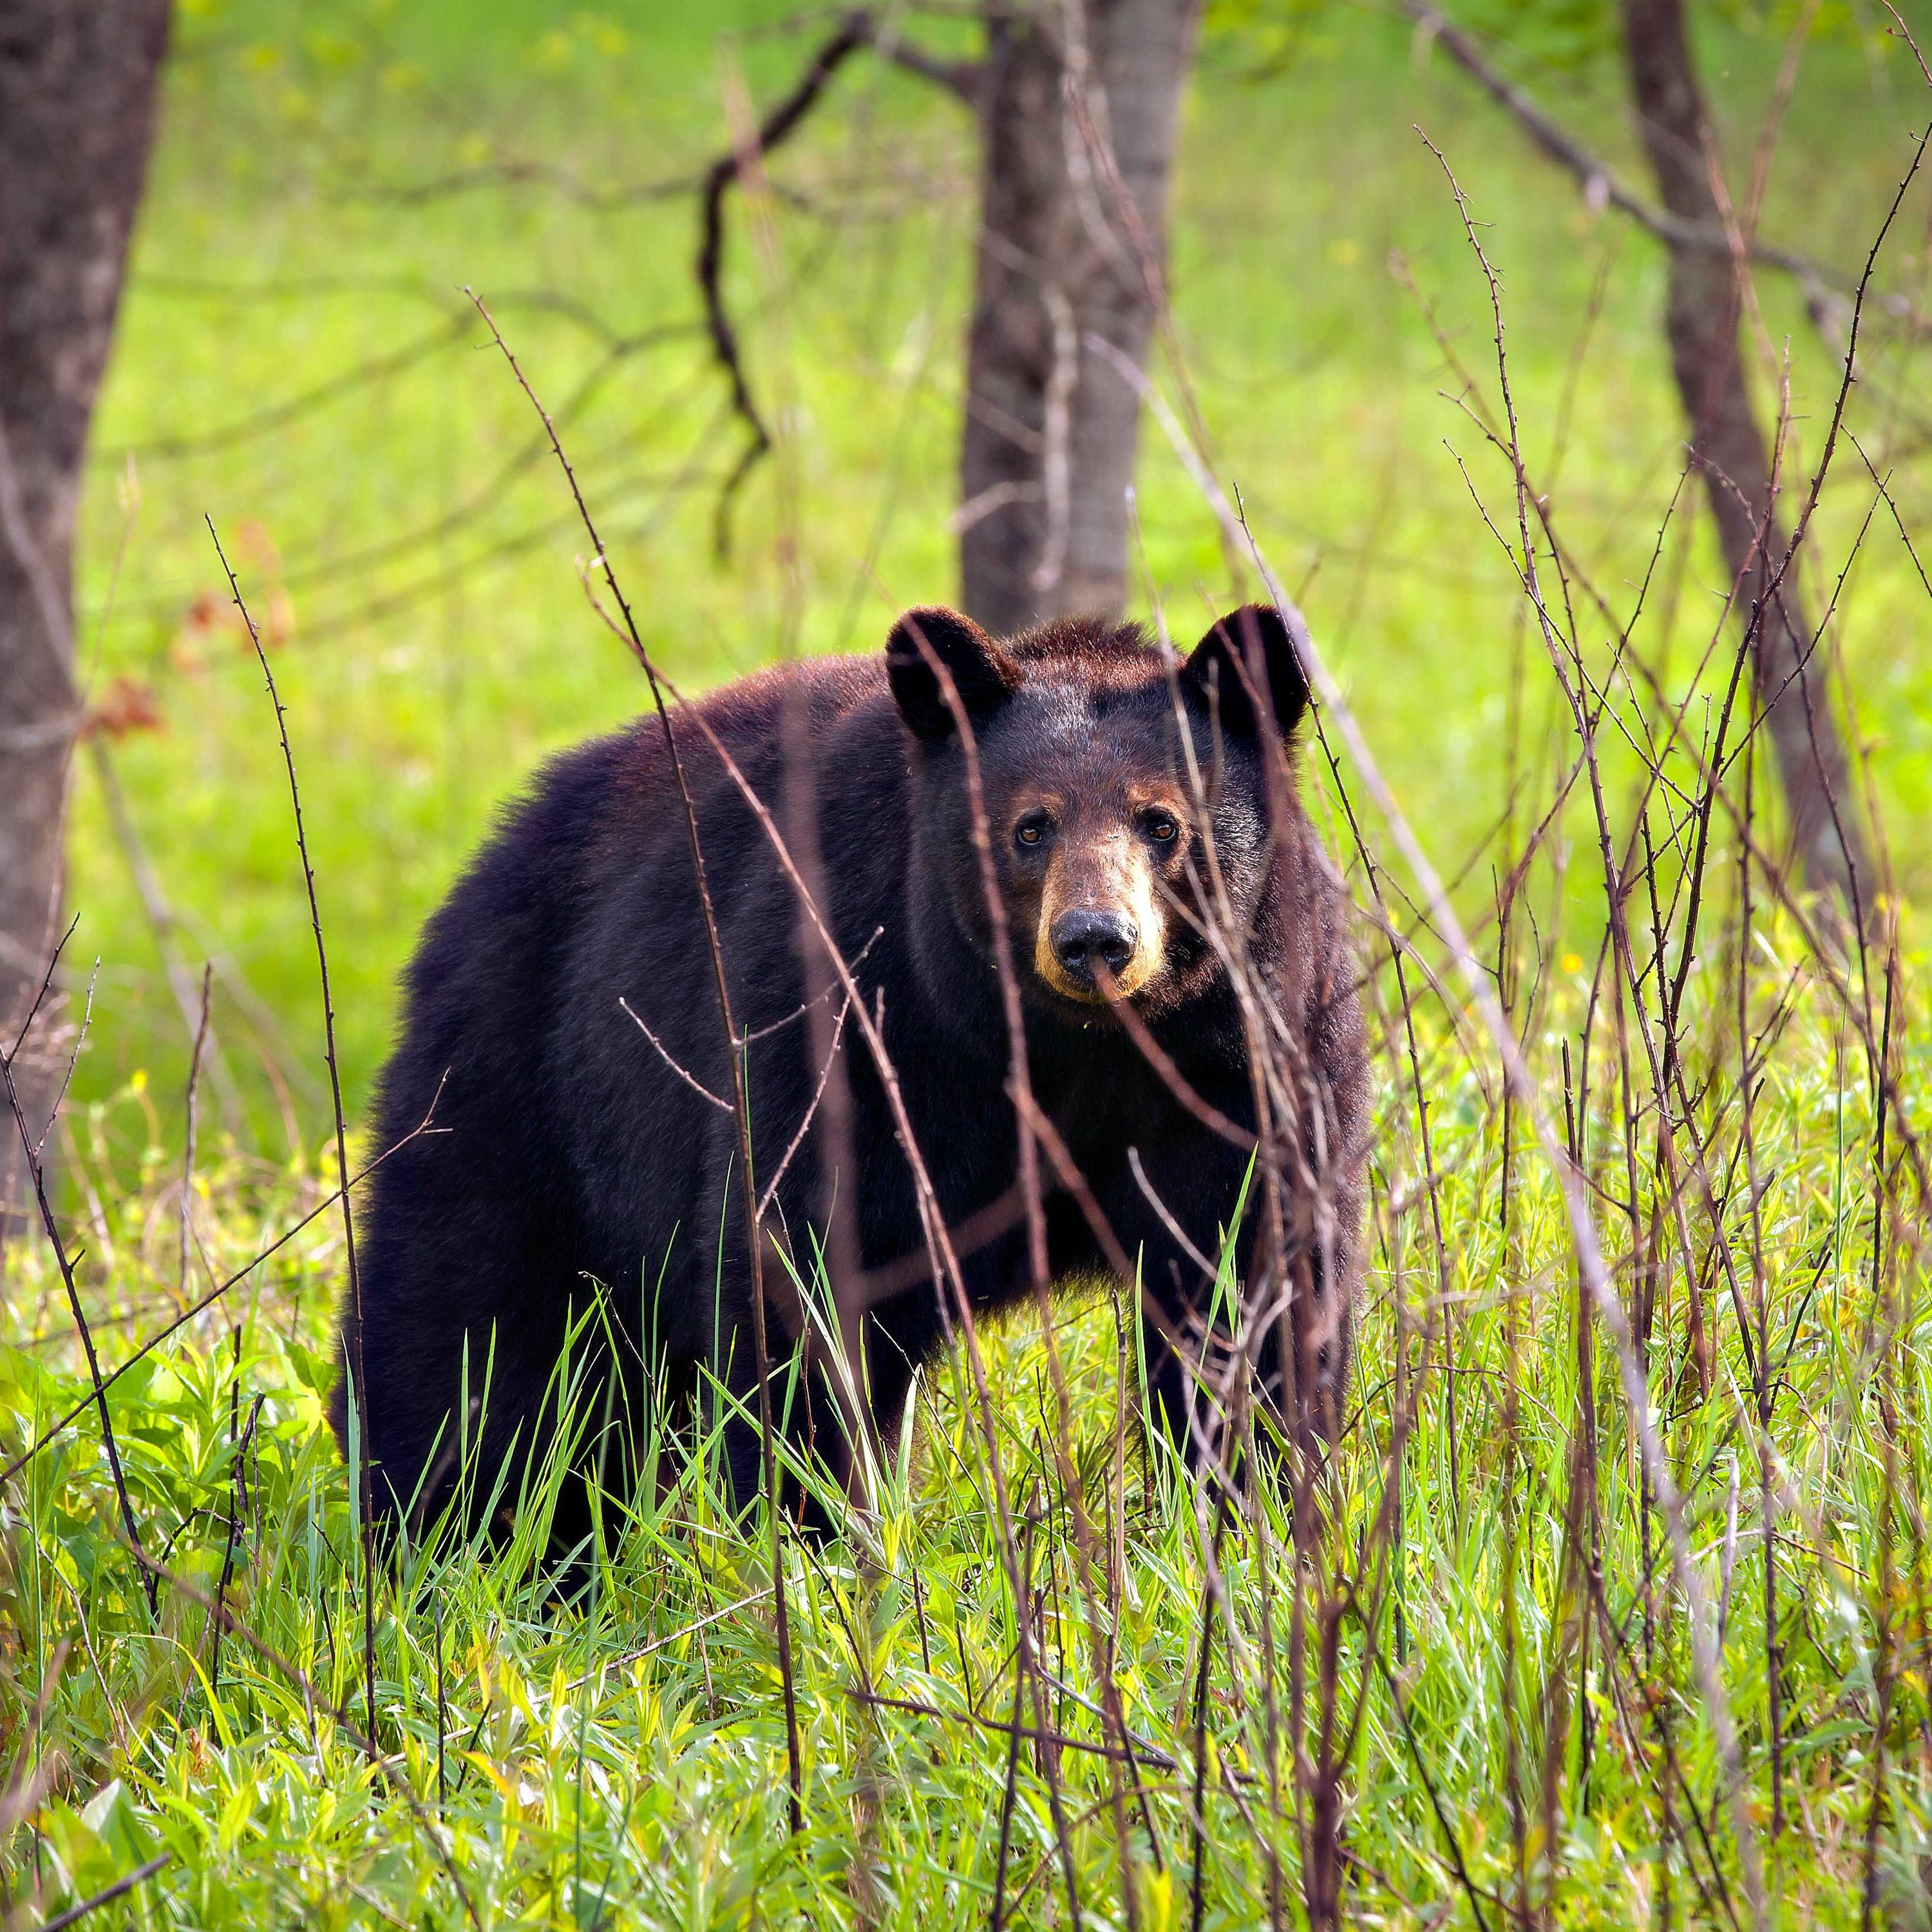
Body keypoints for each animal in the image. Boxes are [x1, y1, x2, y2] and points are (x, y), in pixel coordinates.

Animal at [340, 603, 1376, 1538]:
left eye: (1161, 823)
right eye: (1029, 827)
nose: (1094, 941)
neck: (1072, 1050)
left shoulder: (1252, 1056)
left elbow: (1255, 1283)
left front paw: (1248, 1515)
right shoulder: (860, 1026)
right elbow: (804, 1276)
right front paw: (819, 1532)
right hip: (524, 1082)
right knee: (467, 1337)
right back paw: (452, 1543)